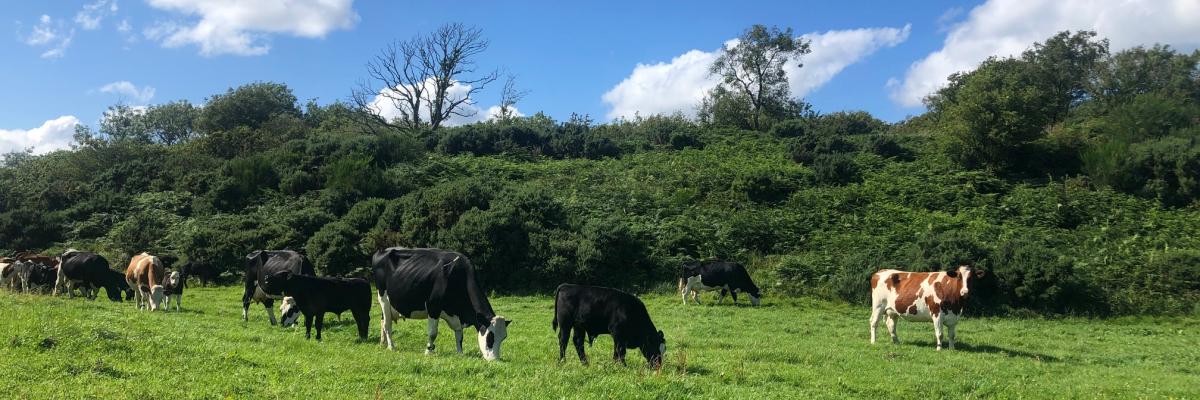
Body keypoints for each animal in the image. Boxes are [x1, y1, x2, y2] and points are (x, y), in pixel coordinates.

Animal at [369, 246, 511, 357]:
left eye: (503, 338)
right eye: (490, 338)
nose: (495, 360)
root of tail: (382, 250)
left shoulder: (457, 316)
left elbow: (459, 335)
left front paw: (460, 353)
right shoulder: (433, 306)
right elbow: (433, 333)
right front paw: (428, 351)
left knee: (382, 321)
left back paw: (383, 343)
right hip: (383, 298)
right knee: (387, 324)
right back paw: (391, 346)